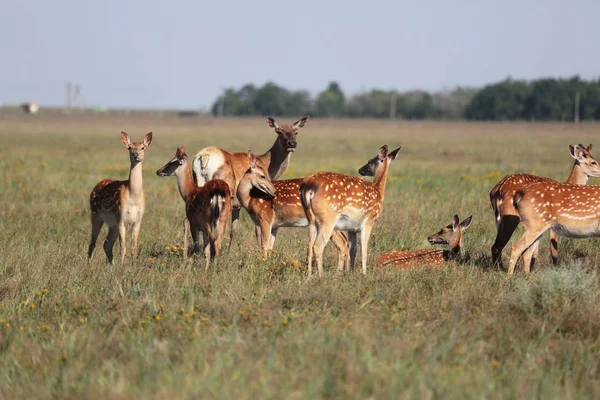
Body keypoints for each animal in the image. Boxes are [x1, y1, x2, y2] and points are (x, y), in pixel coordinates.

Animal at [89, 130, 155, 264]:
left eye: (142, 147)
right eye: (130, 147)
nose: (135, 154)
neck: (133, 197)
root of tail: (95, 186)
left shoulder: (138, 220)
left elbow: (133, 248)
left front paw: (133, 265)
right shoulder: (121, 217)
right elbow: (122, 247)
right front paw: (122, 265)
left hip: (112, 224)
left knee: (106, 244)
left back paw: (111, 265)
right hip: (95, 214)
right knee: (92, 243)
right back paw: (89, 264)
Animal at [192, 114, 310, 248]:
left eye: (296, 131)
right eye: (279, 131)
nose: (292, 143)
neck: (266, 164)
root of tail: (203, 157)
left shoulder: (237, 206)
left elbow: (233, 231)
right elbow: (257, 231)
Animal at [300, 145, 404, 278]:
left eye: (370, 161)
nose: (360, 170)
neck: (378, 191)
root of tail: (307, 185)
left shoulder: (352, 229)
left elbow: (352, 250)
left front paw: (350, 272)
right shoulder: (369, 221)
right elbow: (364, 250)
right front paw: (364, 274)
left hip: (311, 219)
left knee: (309, 245)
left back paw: (309, 277)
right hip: (328, 218)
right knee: (317, 246)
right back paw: (321, 276)